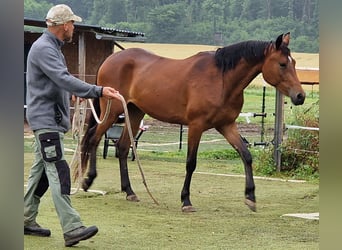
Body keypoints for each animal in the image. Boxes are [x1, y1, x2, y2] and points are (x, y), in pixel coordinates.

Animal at [80, 32, 304, 213]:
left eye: (293, 63)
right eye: (282, 64)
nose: (300, 96)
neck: (221, 79)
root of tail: (109, 59)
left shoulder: (227, 125)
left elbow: (246, 156)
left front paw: (250, 197)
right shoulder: (196, 126)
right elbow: (191, 163)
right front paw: (186, 201)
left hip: (134, 113)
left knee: (123, 147)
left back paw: (129, 191)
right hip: (112, 112)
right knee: (93, 138)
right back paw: (88, 180)